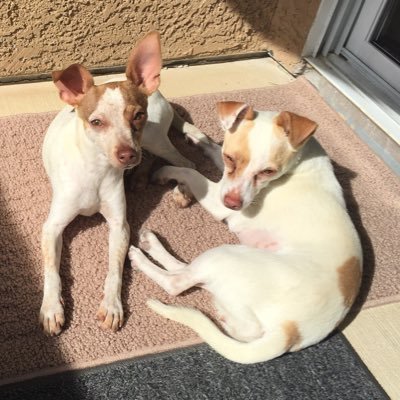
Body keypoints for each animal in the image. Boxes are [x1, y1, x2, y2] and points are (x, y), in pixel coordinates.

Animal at [39, 32, 209, 336]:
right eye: (96, 122)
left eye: (137, 115)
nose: (127, 154)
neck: (96, 169)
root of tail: (161, 95)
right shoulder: (52, 227)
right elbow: (51, 271)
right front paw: (51, 308)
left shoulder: (119, 225)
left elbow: (115, 268)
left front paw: (112, 306)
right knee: (157, 160)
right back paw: (140, 177)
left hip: (152, 137)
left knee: (184, 162)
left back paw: (177, 188)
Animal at [128, 101, 362, 364]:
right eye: (230, 158)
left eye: (268, 172)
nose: (233, 203)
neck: (300, 158)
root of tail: (290, 331)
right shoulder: (224, 182)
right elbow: (213, 147)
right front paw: (198, 137)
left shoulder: (217, 198)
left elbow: (190, 172)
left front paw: (166, 170)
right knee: (194, 279)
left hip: (225, 256)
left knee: (177, 281)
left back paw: (141, 254)